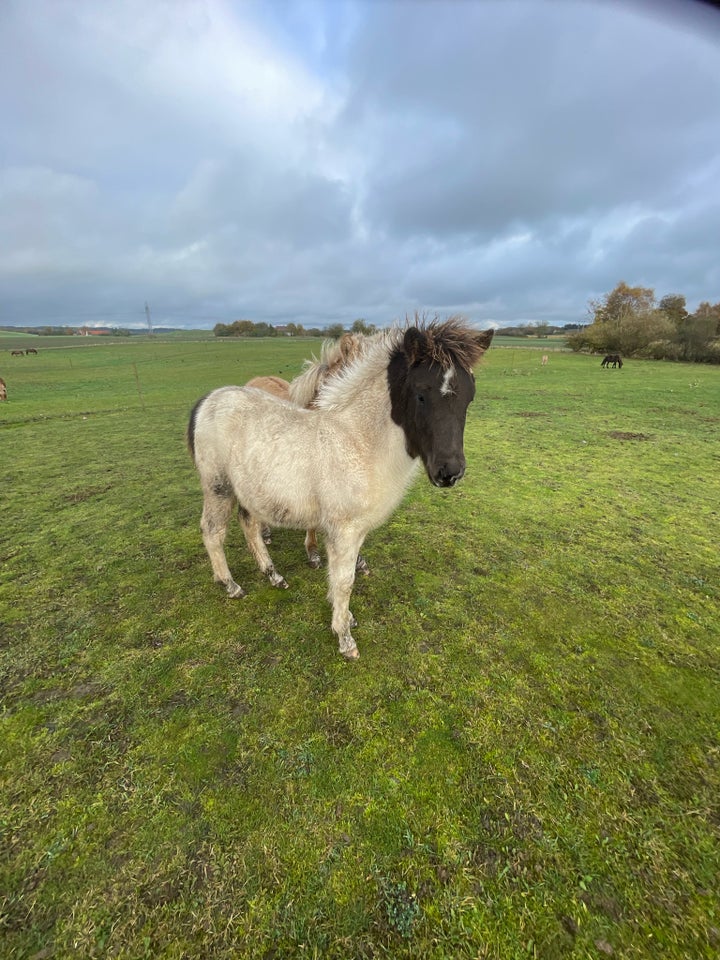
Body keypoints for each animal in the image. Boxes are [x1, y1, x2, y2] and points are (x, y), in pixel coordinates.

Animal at [188, 318, 496, 656]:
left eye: (469, 397)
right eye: (421, 394)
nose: (449, 472)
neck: (359, 441)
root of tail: (208, 401)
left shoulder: (356, 531)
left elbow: (342, 577)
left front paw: (345, 618)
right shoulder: (343, 531)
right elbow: (344, 581)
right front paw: (345, 638)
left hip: (250, 491)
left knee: (250, 525)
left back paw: (273, 576)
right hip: (218, 487)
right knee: (213, 530)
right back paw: (230, 585)